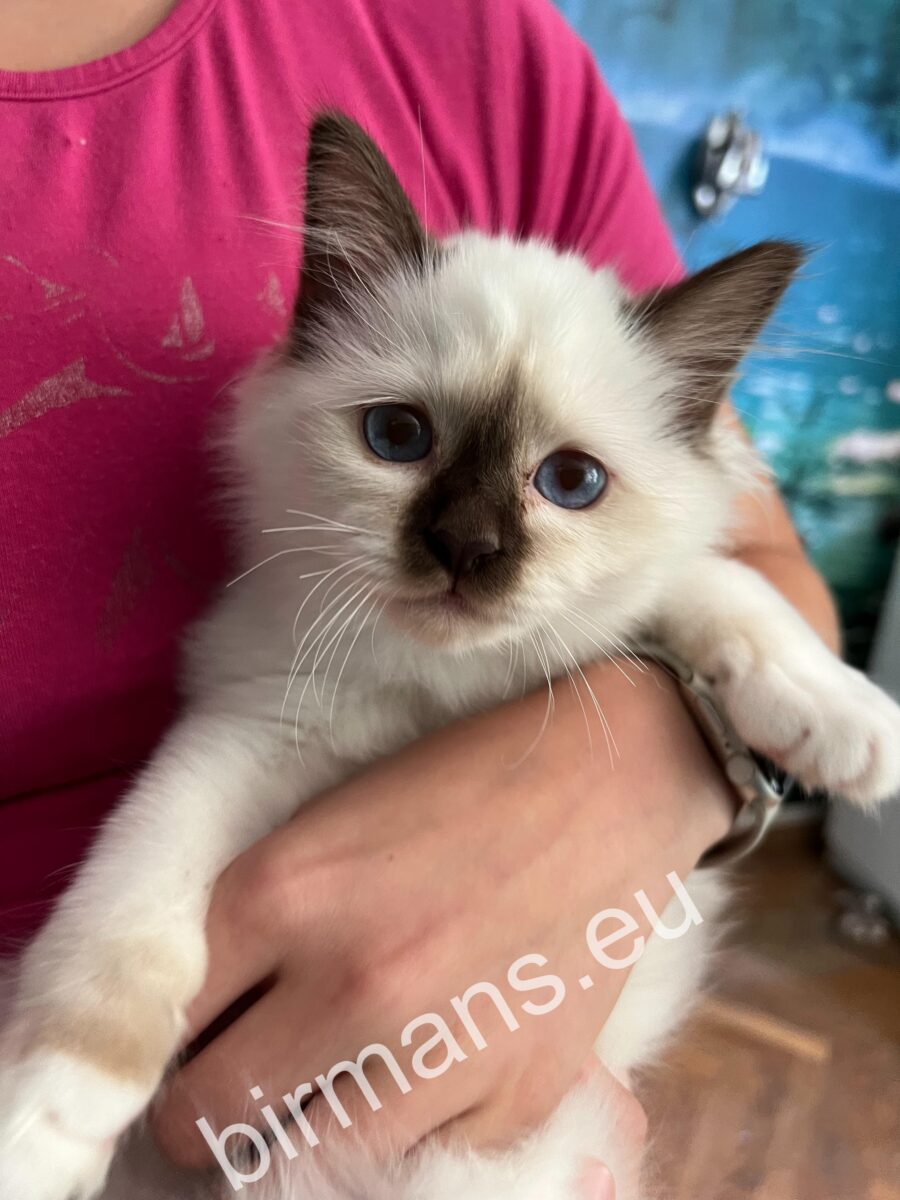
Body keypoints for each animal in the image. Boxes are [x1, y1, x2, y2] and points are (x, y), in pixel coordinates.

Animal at [2, 112, 899, 1200]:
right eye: (398, 437)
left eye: (571, 482)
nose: (465, 549)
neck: (444, 690)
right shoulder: (247, 737)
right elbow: (120, 933)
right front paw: (40, 1135)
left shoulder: (632, 605)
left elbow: (715, 587)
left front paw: (856, 729)